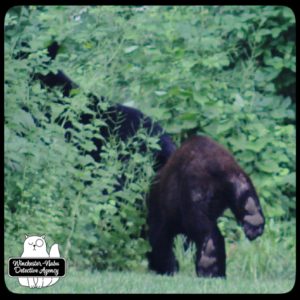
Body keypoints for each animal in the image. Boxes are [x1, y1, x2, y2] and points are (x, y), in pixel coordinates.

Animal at [146, 135, 264, 278]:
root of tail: (216, 166)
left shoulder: (159, 211)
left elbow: (158, 239)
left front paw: (166, 267)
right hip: (237, 178)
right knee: (244, 192)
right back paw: (253, 220)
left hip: (195, 191)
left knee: (202, 227)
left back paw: (208, 264)